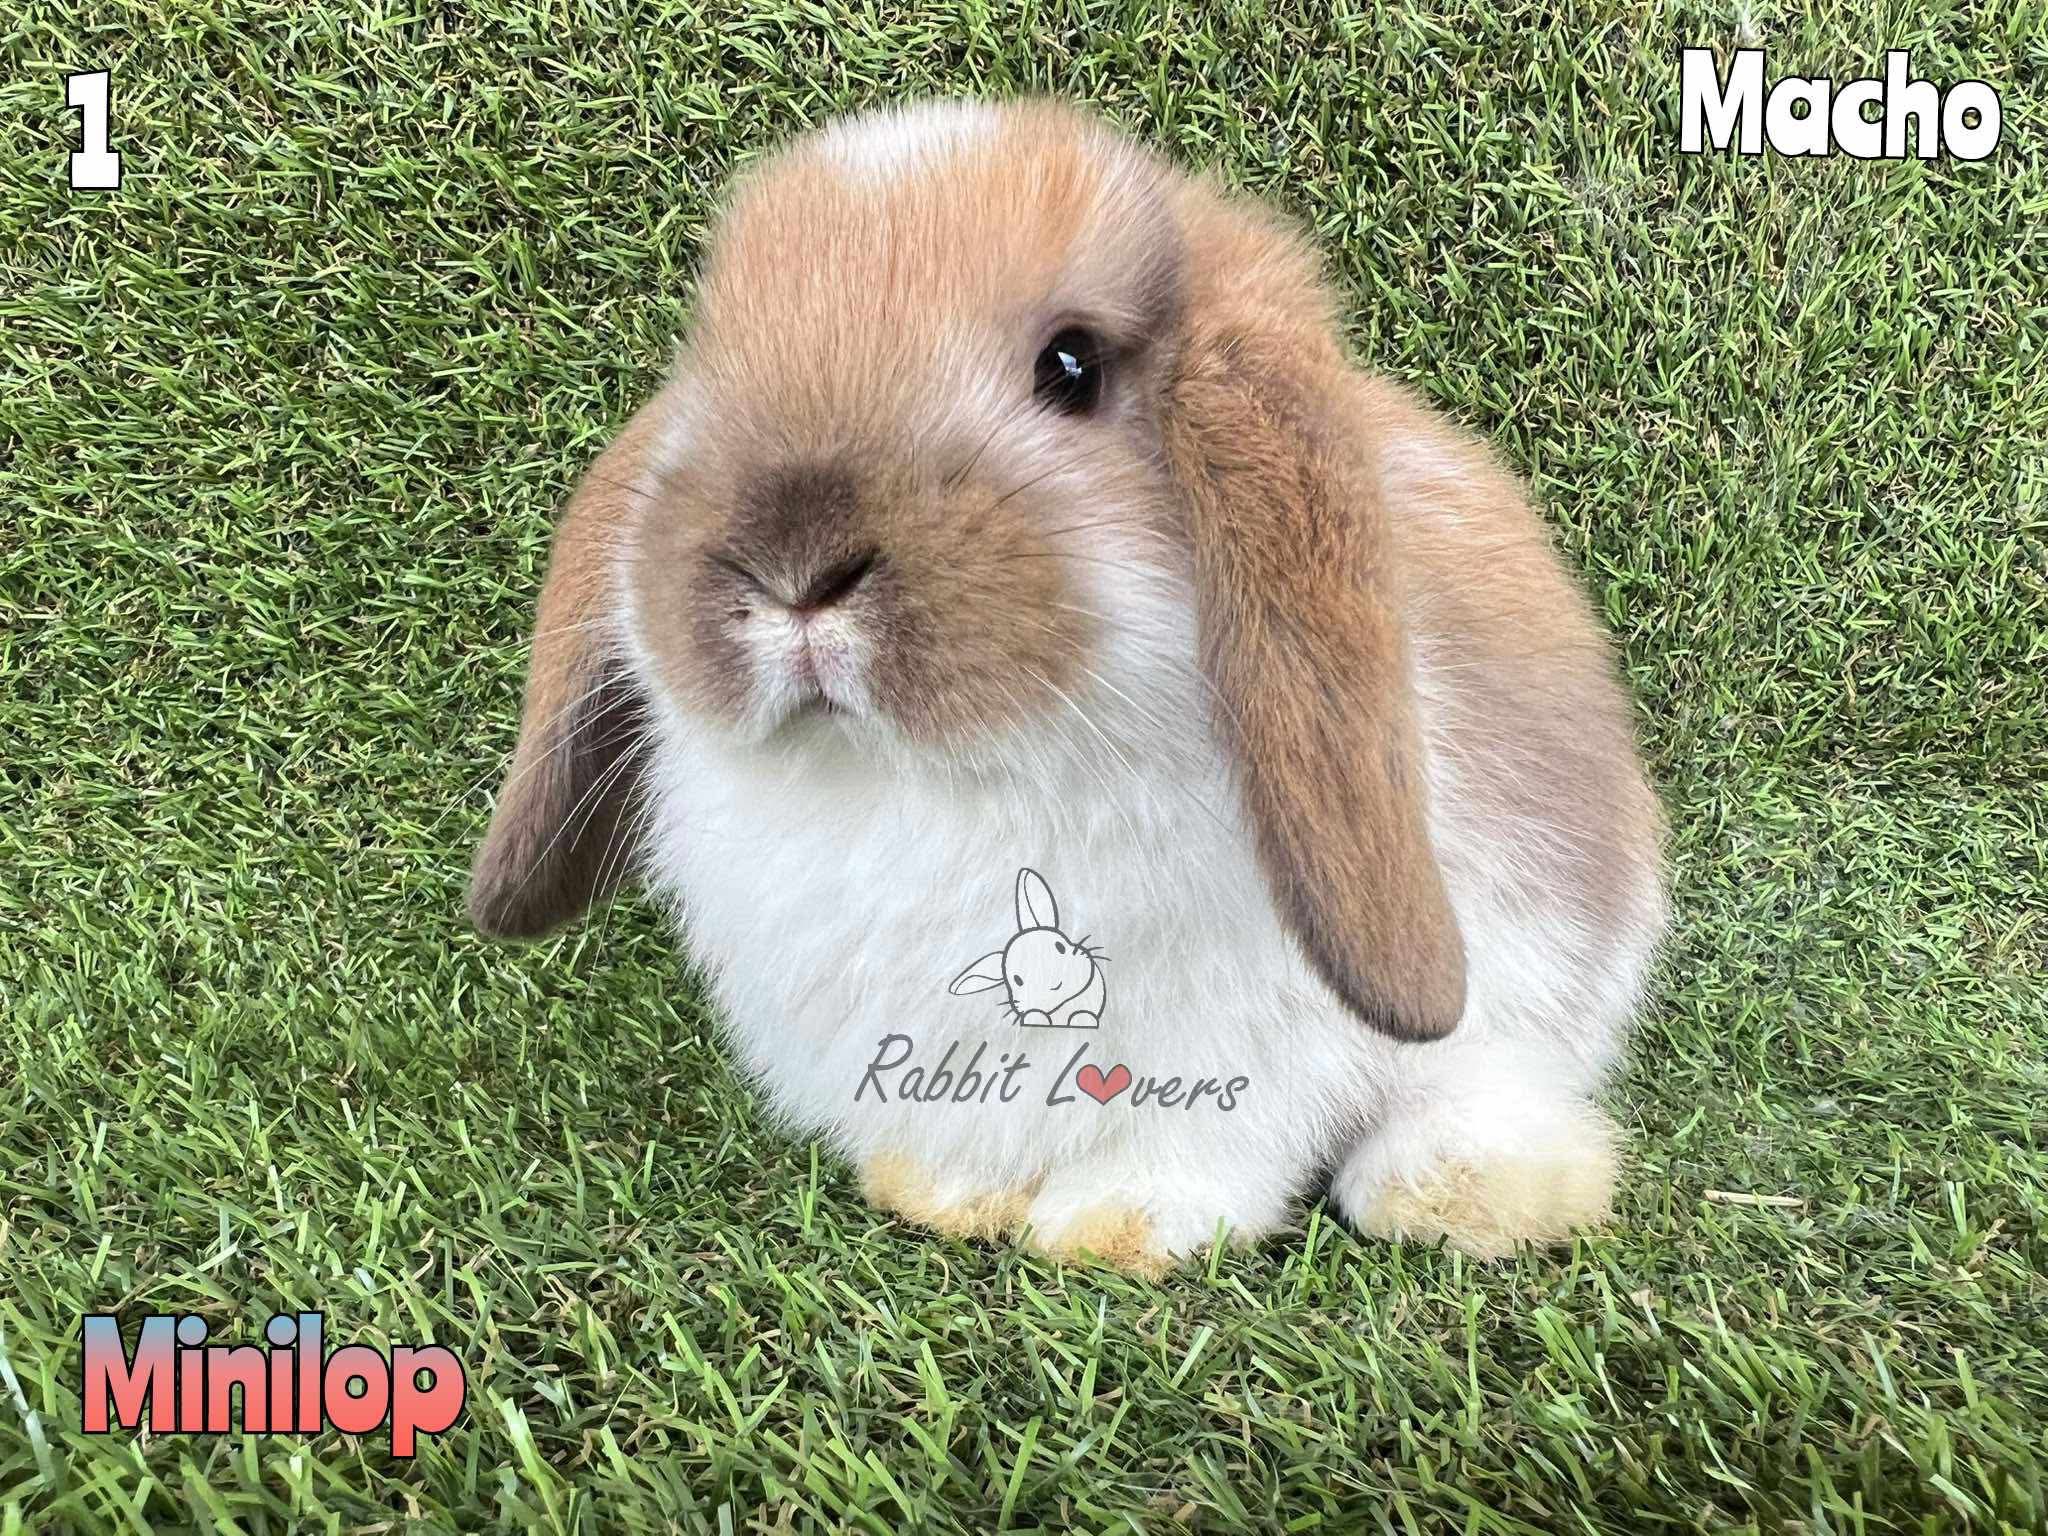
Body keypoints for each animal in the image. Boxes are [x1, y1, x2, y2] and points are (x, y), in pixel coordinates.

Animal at [467, 98, 1667, 1273]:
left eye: (1072, 366)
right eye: (710, 363)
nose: (791, 564)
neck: (921, 779)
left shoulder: (1242, 1040)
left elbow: (1203, 1139)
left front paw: (1116, 1226)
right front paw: (938, 1196)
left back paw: (1455, 1190)